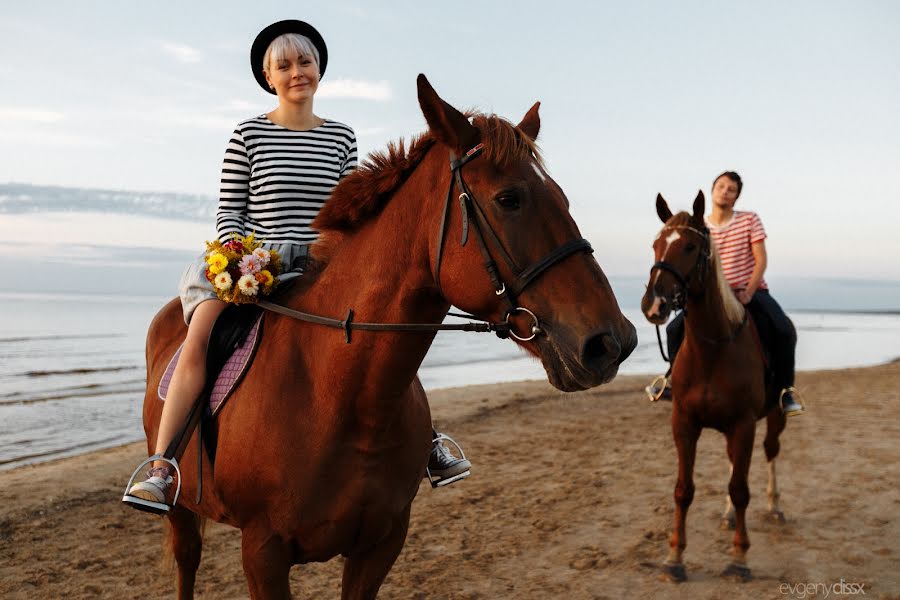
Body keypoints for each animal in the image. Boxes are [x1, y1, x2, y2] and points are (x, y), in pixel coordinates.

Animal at [141, 76, 636, 600]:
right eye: (509, 199)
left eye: (562, 198)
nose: (612, 341)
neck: (341, 394)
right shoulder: (263, 554)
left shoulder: (380, 546)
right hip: (182, 512)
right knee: (187, 560)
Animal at [640, 192, 788, 580]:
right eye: (656, 244)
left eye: (691, 247)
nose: (654, 305)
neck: (713, 348)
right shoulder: (684, 423)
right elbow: (683, 490)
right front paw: (674, 558)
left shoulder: (744, 424)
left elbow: (740, 488)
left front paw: (739, 558)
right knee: (734, 463)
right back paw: (727, 515)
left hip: (775, 417)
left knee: (770, 452)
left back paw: (775, 507)